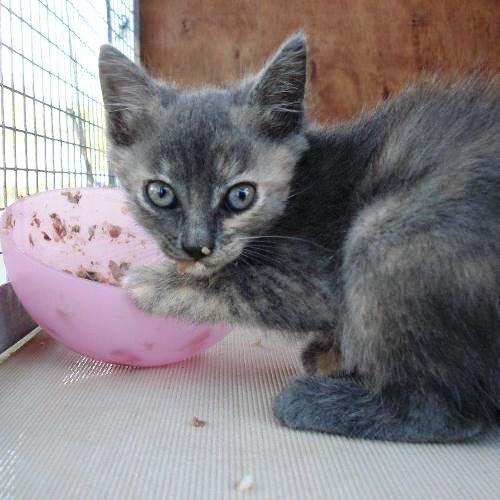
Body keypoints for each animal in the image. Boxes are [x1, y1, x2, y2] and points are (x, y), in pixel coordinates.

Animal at [99, 33, 500, 442]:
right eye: (160, 193)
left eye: (240, 196)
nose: (197, 247)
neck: (297, 188)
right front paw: (332, 353)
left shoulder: (314, 276)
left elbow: (236, 283)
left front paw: (148, 281)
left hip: (384, 229)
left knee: (447, 411)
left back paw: (320, 404)